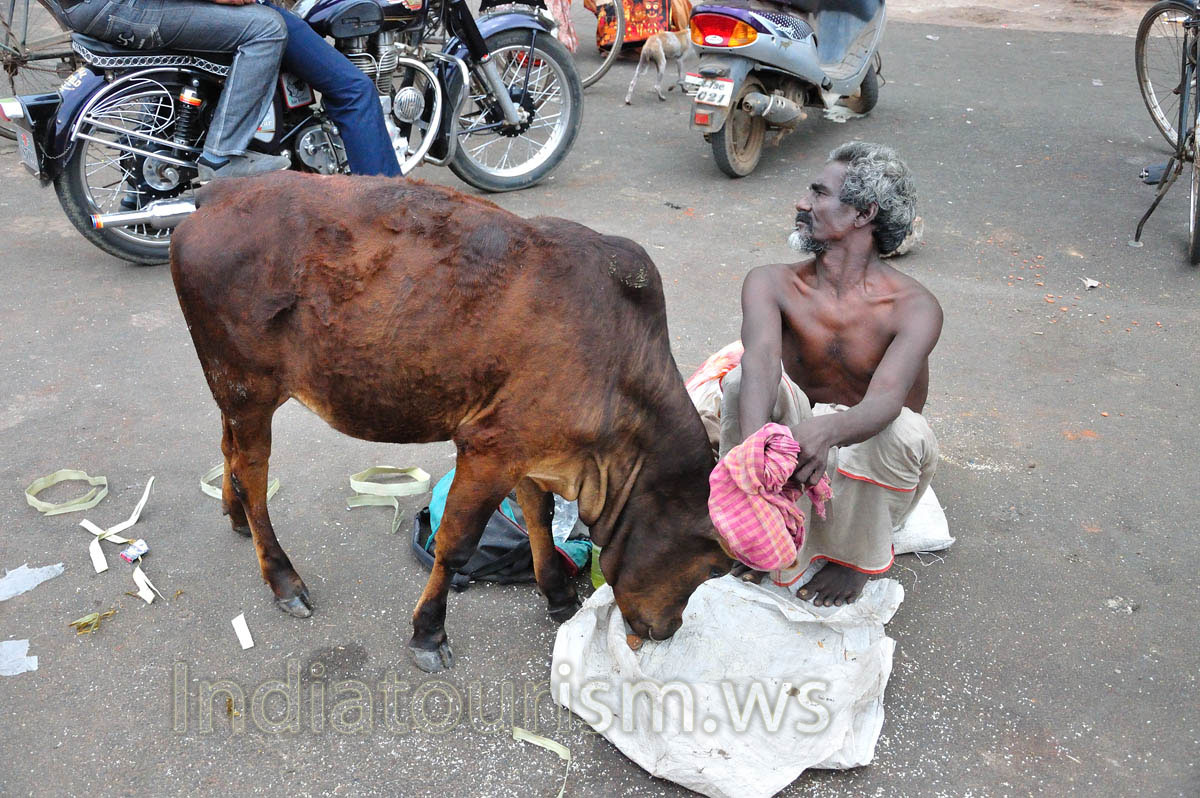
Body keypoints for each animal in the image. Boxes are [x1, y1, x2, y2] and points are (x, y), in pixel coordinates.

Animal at [169, 172, 733, 672]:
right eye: (714, 566)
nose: (669, 629)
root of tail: (218, 191)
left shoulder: (528, 449)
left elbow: (539, 517)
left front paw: (556, 593)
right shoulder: (489, 448)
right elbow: (456, 546)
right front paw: (428, 633)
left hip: (235, 394)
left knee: (231, 457)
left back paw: (236, 518)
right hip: (247, 387)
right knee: (254, 477)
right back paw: (284, 579)